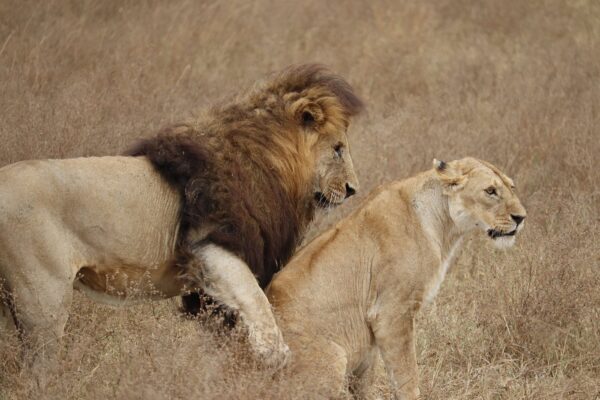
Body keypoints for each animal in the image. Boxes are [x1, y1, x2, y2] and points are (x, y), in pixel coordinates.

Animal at [0, 64, 360, 374]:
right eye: (338, 149)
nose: (353, 189)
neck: (274, 163)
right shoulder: (208, 242)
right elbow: (256, 301)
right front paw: (276, 359)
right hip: (42, 295)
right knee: (38, 367)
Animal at [268, 158, 524, 398]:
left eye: (512, 187)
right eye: (490, 191)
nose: (521, 217)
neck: (445, 225)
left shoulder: (370, 334)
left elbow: (365, 385)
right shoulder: (392, 311)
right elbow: (407, 375)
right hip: (334, 357)